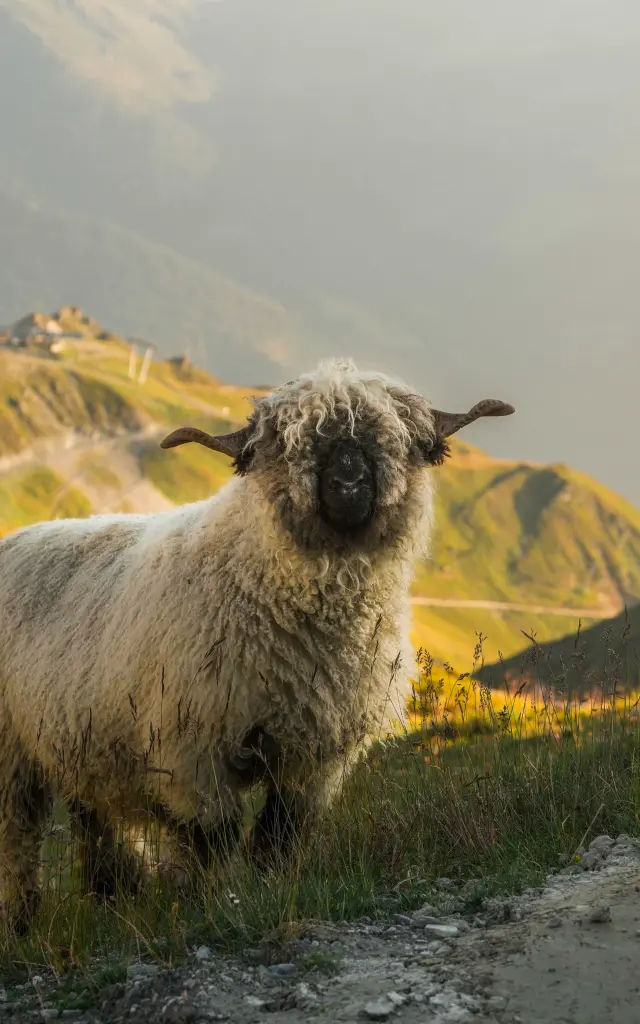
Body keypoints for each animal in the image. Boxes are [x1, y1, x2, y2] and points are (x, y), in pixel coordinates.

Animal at [0, 357, 513, 930]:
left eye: (398, 439)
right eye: (291, 443)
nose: (349, 483)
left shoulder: (315, 757)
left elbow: (280, 836)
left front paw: (270, 891)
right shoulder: (194, 750)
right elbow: (216, 839)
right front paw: (214, 904)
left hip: (81, 742)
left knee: (93, 820)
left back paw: (112, 898)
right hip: (12, 755)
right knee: (19, 842)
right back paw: (23, 922)